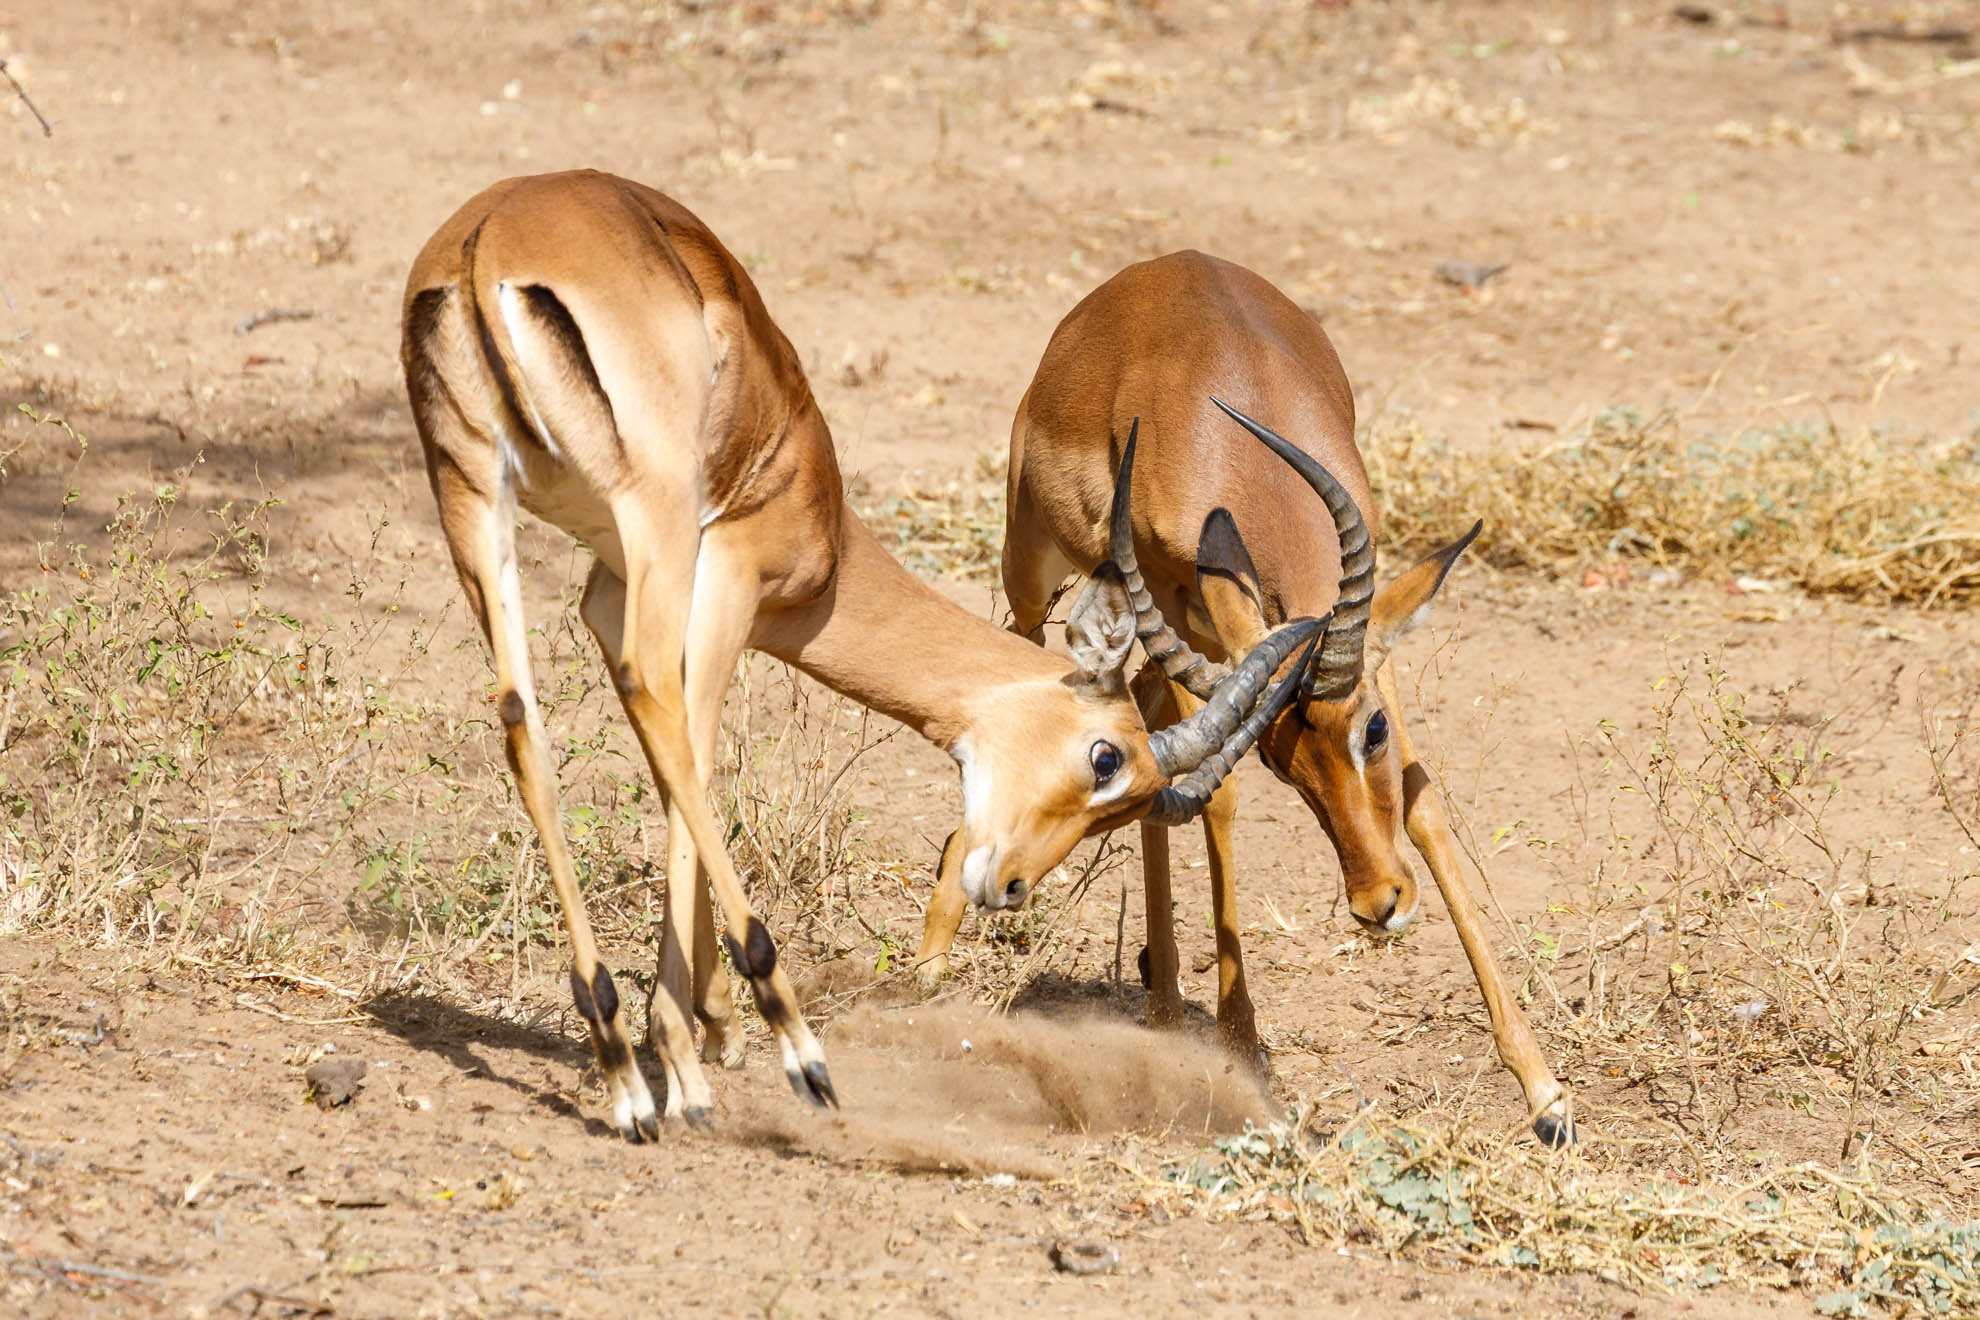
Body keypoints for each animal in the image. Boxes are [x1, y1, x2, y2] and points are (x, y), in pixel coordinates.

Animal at [398, 174, 1319, 1140]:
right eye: (1105, 759)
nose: (1009, 886)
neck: (827, 526)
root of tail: (489, 241)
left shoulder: (607, 594)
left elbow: (670, 766)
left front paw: (707, 1025)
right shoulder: (727, 577)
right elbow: (692, 749)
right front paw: (699, 1042)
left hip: (473, 497)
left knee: (520, 728)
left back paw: (619, 1062)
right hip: (647, 517)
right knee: (653, 706)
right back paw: (774, 1055)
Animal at [915, 250, 1572, 1144]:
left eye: (1371, 731)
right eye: (1280, 764)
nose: (1379, 903)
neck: (1242, 425)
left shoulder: (1349, 641)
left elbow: (1423, 802)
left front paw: (1546, 1096)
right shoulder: (1178, 604)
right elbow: (1212, 795)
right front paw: (1237, 1041)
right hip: (1035, 573)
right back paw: (958, 950)